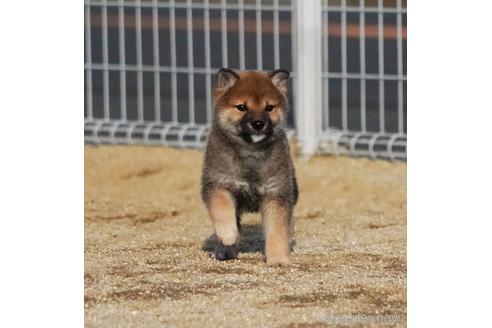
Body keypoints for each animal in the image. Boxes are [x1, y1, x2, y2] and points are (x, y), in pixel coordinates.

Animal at [201, 68, 300, 266]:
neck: (251, 152)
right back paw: (224, 250)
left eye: (269, 108)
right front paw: (227, 234)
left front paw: (279, 259)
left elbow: (278, 231)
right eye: (242, 107)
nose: (258, 124)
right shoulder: (217, 184)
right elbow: (222, 209)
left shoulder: (276, 193)